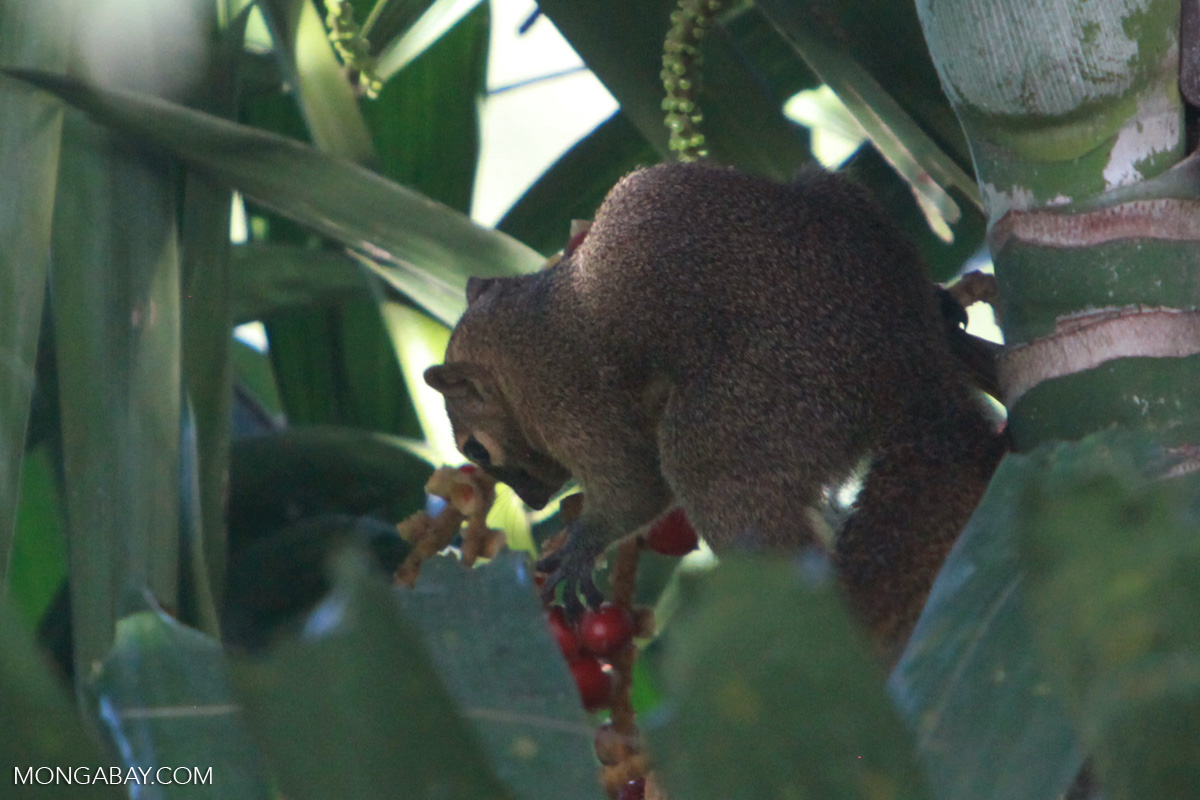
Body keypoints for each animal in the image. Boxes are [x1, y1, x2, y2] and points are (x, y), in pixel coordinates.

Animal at [425, 161, 1004, 660]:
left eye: (477, 448)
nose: (533, 500)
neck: (520, 339)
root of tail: (908, 360)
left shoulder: (568, 401)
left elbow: (636, 483)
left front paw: (578, 549)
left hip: (751, 410)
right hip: (840, 205)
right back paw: (941, 304)